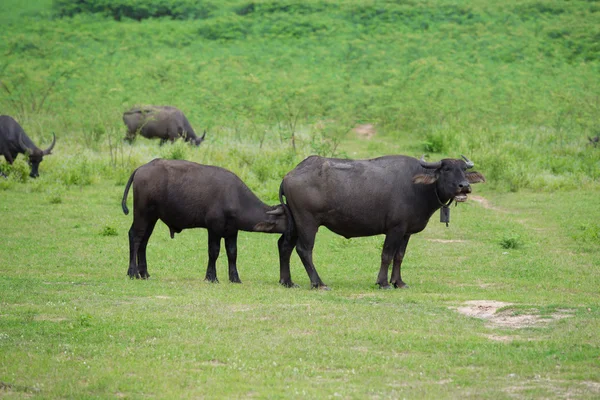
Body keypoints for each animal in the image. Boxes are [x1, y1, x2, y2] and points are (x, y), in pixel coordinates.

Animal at [121, 159, 286, 282]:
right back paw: (133, 272)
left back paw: (144, 273)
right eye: (289, 216)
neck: (234, 197)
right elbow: (214, 251)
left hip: (151, 218)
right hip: (142, 214)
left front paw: (234, 278)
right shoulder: (214, 229)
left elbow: (232, 253)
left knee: (143, 241)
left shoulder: (232, 231)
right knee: (135, 237)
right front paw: (211, 277)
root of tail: (141, 168)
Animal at [278, 153, 486, 288]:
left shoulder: (406, 232)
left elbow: (399, 256)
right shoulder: (395, 229)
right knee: (304, 250)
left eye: (463, 170)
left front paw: (398, 282)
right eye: (447, 169)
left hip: (294, 222)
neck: (417, 188)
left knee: (284, 245)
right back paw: (318, 283)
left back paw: (287, 281)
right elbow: (386, 255)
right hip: (307, 223)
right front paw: (383, 282)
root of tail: (289, 175)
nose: (464, 186)